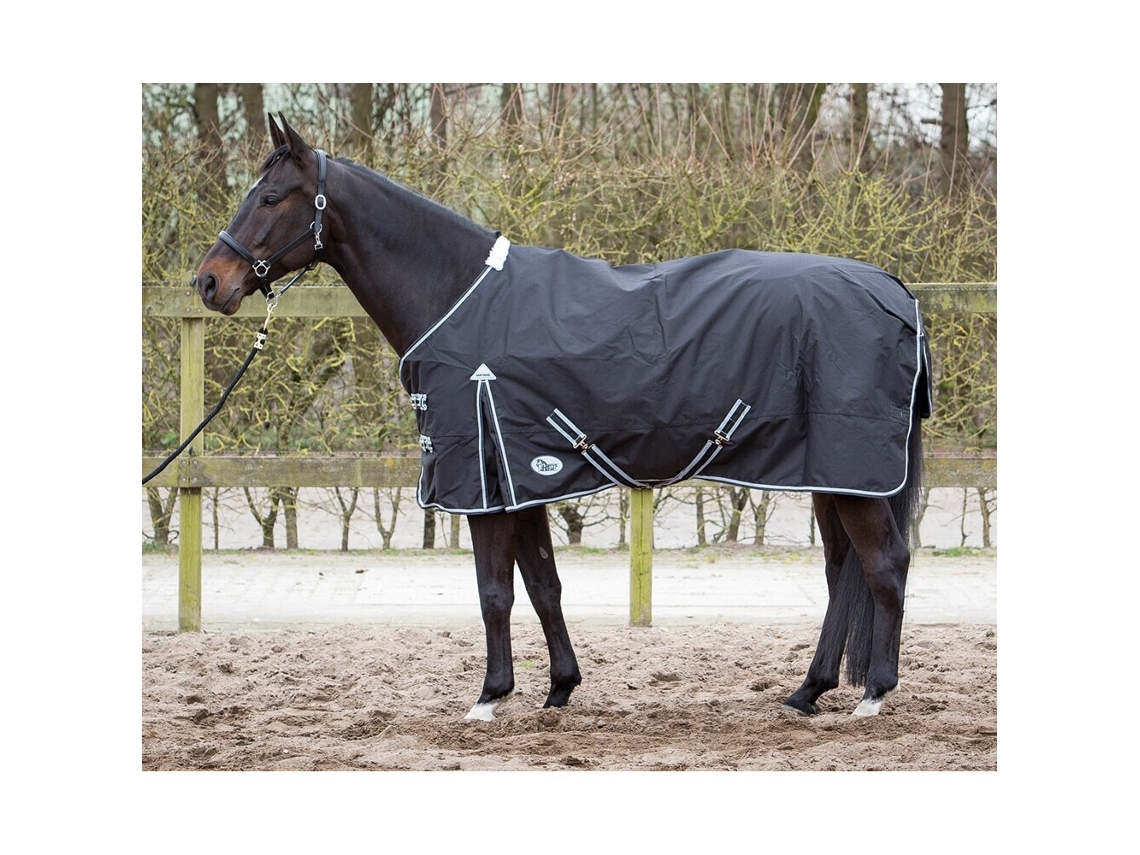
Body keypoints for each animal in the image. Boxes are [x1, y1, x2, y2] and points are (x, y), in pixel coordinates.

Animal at [193, 114, 930, 719]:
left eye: (269, 197)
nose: (209, 281)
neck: (459, 298)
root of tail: (895, 291)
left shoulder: (484, 484)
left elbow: (494, 591)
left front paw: (490, 697)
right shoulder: (520, 477)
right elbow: (543, 584)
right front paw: (558, 688)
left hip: (855, 475)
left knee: (886, 564)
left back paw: (874, 694)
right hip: (831, 475)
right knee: (841, 572)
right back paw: (807, 691)